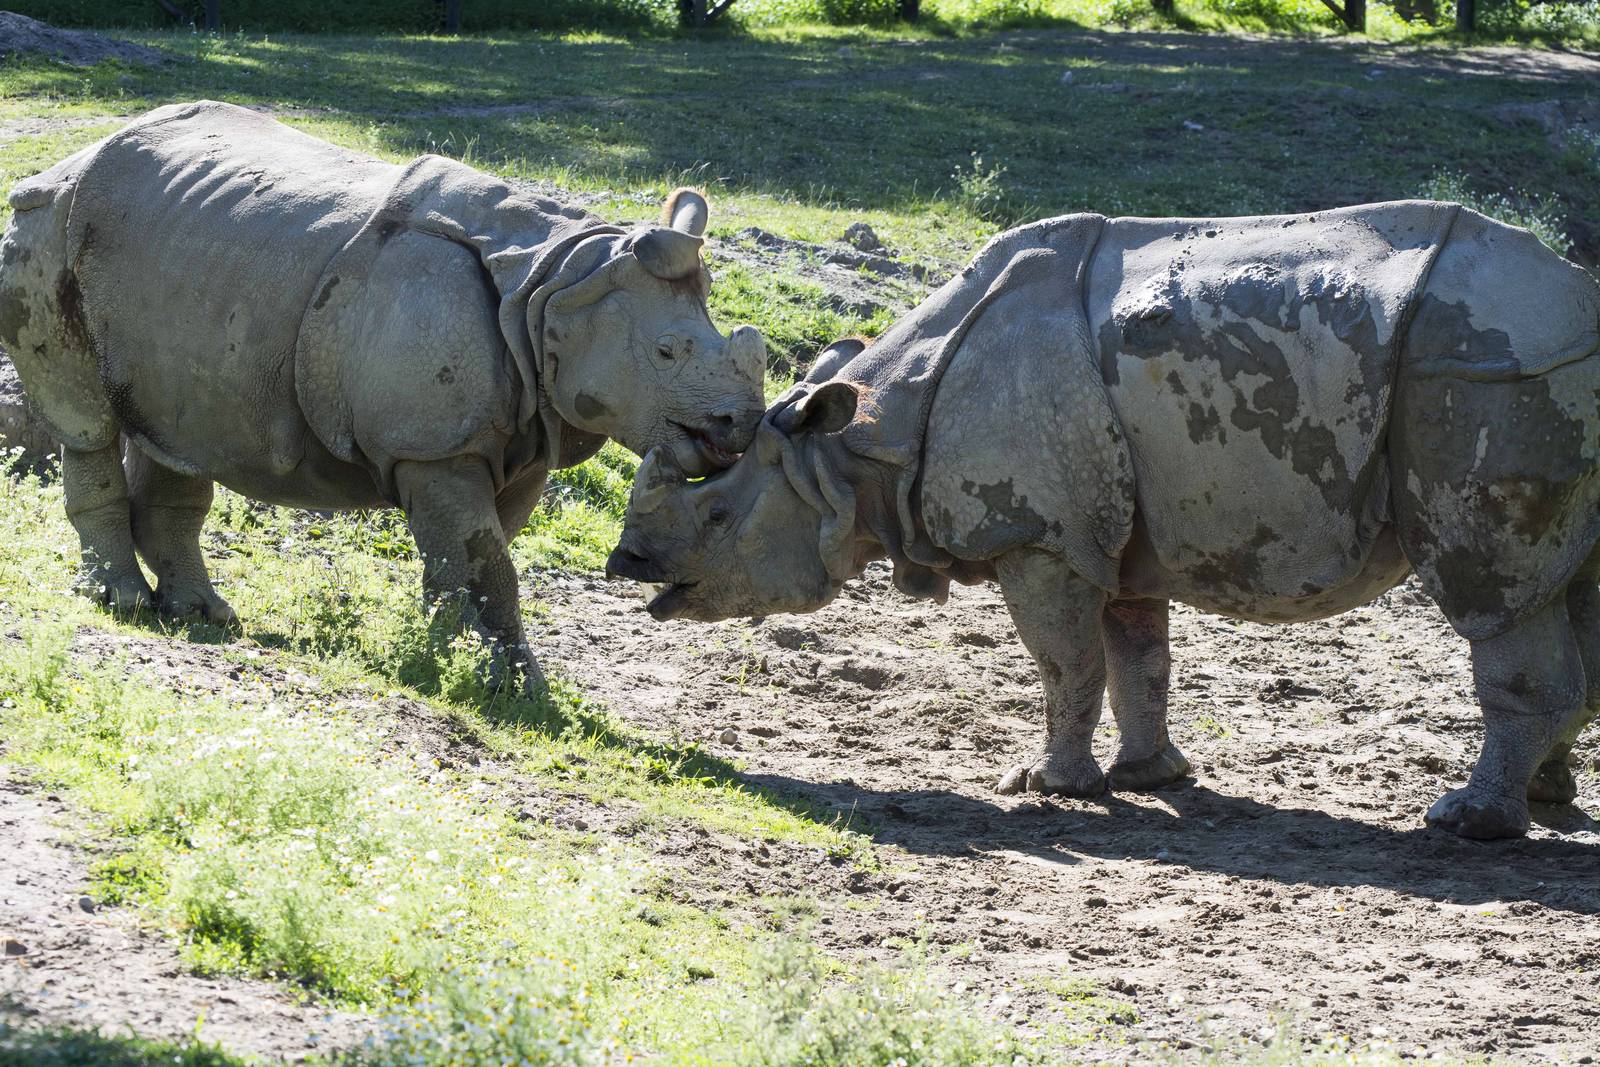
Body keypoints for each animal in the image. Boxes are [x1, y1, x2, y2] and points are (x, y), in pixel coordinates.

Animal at [0, 101, 766, 688]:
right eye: (665, 354)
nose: (740, 426)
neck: (558, 282)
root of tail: (73, 157)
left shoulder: (524, 434)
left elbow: (474, 557)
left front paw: (467, 666)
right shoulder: (435, 447)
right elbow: (484, 557)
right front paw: (499, 685)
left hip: (185, 262)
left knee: (178, 436)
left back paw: (202, 615)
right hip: (50, 227)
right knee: (86, 417)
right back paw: (121, 602)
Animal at [607, 202, 1600, 840]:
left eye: (718, 513)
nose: (628, 566)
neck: (852, 447)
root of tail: (1580, 301)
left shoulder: (1040, 537)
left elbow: (1065, 660)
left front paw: (1046, 785)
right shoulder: (1119, 533)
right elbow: (1136, 660)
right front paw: (1149, 778)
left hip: (1485, 375)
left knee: (1492, 595)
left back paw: (1470, 823)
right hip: (1520, 372)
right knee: (1569, 587)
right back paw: (1547, 800)